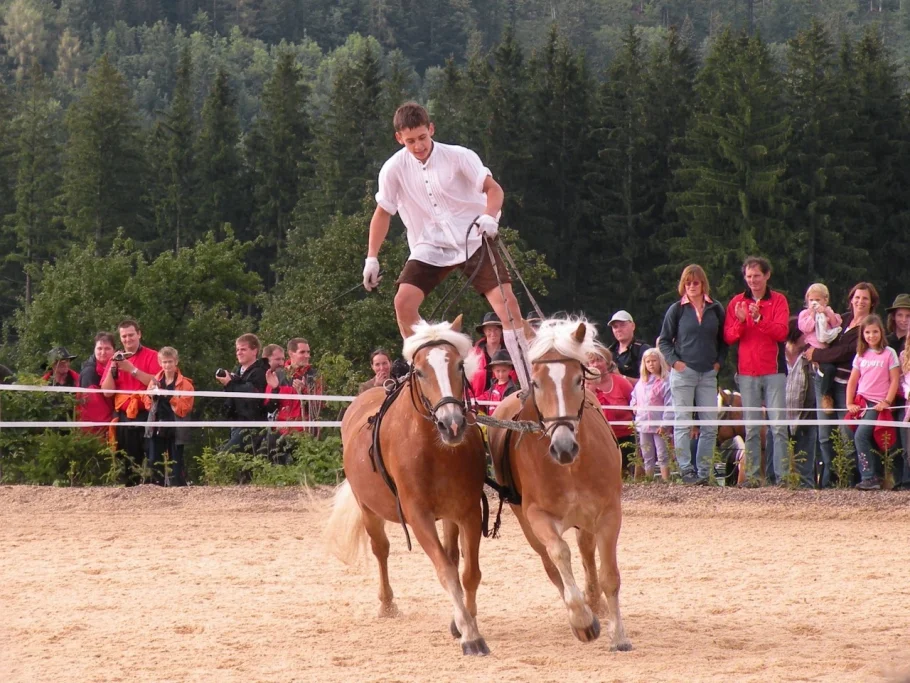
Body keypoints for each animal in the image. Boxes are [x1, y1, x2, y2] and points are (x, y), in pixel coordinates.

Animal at [323, 316, 491, 656]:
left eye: (459, 366)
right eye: (421, 371)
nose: (452, 424)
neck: (434, 449)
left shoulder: (467, 511)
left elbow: (468, 573)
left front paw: (464, 622)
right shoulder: (418, 516)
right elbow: (446, 572)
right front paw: (470, 634)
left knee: (452, 553)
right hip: (367, 508)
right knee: (381, 549)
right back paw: (386, 604)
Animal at [487, 317, 632, 651]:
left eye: (578, 380)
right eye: (538, 383)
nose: (563, 447)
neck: (570, 469)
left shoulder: (608, 514)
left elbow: (609, 575)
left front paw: (618, 635)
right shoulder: (537, 516)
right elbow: (559, 555)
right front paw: (582, 621)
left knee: (587, 554)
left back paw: (595, 602)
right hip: (527, 522)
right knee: (552, 564)